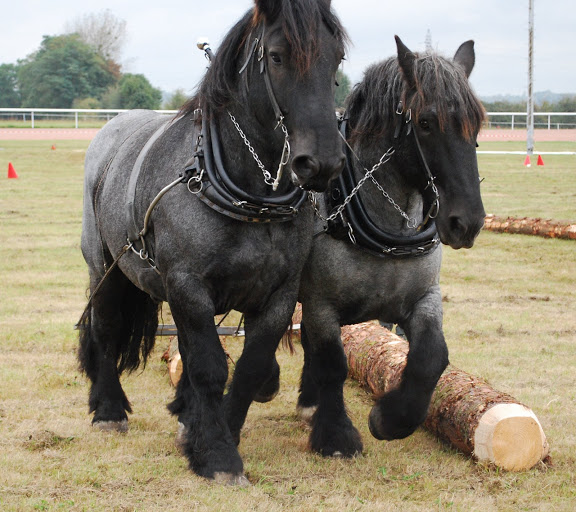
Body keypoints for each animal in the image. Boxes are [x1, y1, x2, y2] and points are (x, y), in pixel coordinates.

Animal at [79, 0, 348, 484]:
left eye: (336, 59)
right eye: (277, 56)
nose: (322, 163)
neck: (247, 195)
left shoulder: (280, 293)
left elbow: (248, 367)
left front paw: (212, 431)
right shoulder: (188, 284)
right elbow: (208, 366)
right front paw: (218, 455)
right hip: (106, 268)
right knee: (105, 328)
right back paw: (108, 409)